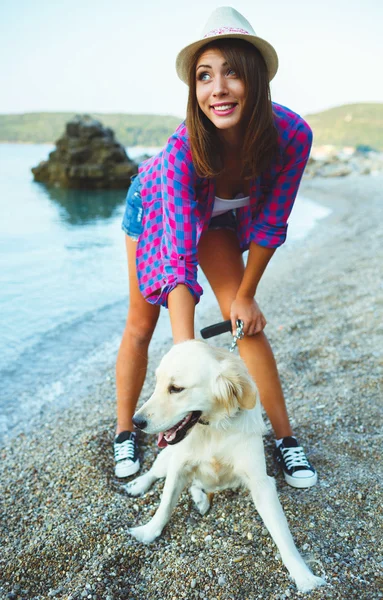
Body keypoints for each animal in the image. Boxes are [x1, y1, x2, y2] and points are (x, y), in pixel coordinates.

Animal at [124, 340, 328, 592]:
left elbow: (282, 534)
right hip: (167, 459)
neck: (212, 428)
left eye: (176, 388)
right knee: (154, 472)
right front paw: (147, 532)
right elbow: (164, 505)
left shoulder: (261, 483)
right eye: (157, 383)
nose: (136, 422)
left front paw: (303, 575)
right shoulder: (178, 467)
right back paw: (138, 484)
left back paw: (201, 500)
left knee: (196, 485)